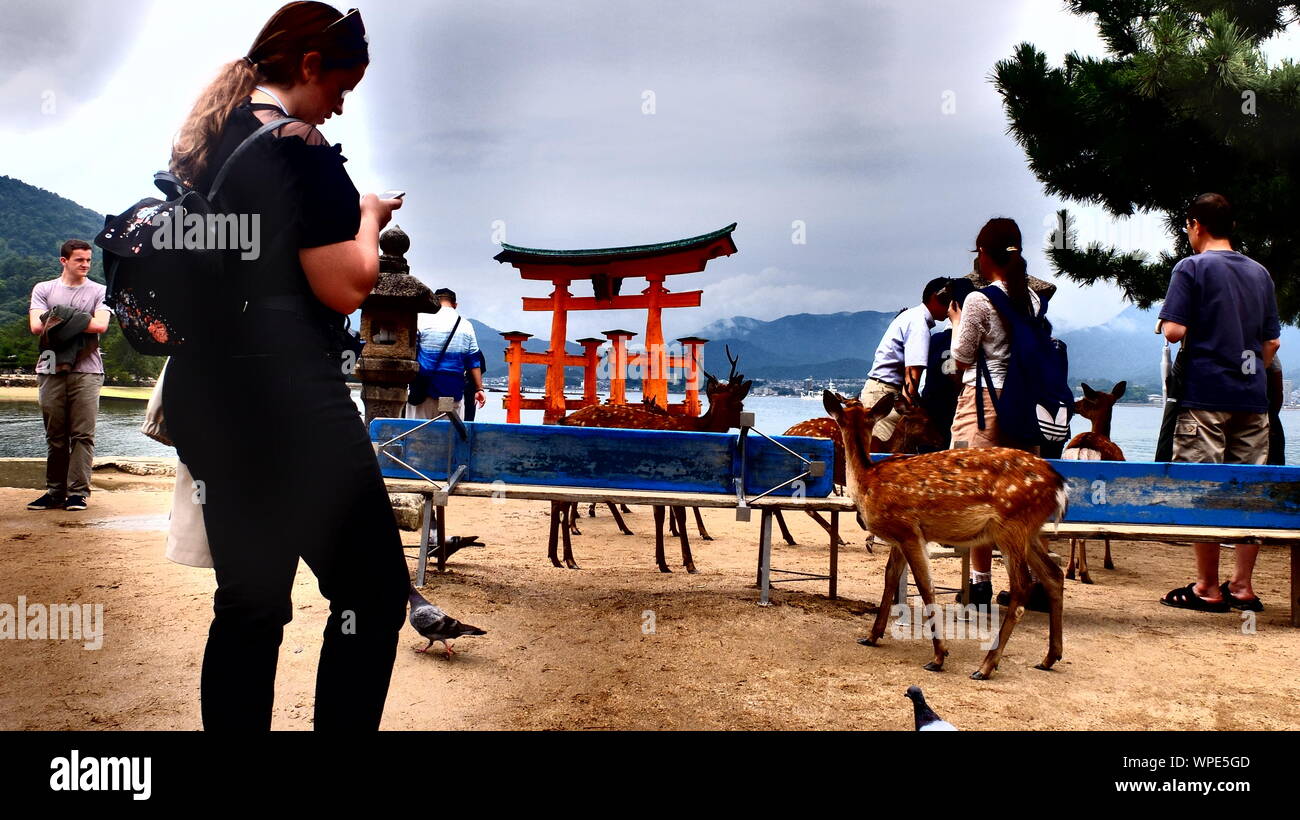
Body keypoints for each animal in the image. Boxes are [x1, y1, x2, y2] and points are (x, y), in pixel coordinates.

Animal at [548, 350, 754, 574]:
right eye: (739, 404)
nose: (749, 423)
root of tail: (565, 420)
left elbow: (662, 515)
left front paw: (663, 561)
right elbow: (679, 515)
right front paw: (688, 563)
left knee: (559, 501)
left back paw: (557, 557)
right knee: (563, 502)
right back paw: (569, 558)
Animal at [821, 392, 1066, 680]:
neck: (867, 481)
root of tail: (1059, 485)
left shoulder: (907, 530)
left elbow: (926, 586)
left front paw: (939, 656)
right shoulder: (899, 537)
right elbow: (890, 578)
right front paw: (872, 636)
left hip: (1011, 525)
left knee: (1022, 586)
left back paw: (985, 666)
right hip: (1029, 531)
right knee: (1053, 574)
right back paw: (1049, 658)